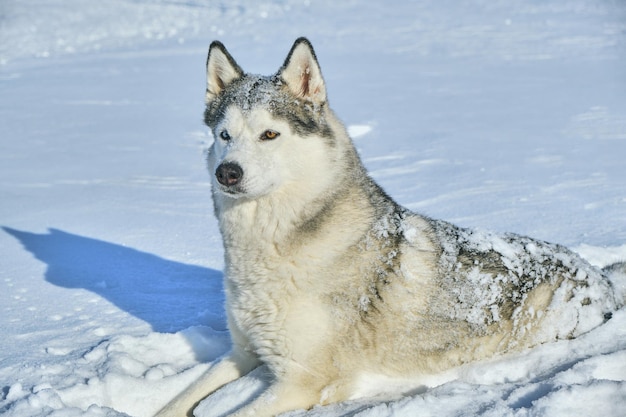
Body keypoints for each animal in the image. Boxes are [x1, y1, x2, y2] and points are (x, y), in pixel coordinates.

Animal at [155, 37, 620, 414]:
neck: (266, 247)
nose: (227, 173)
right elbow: (175, 402)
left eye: (269, 135)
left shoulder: (302, 382)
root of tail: (602, 277)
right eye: (224, 136)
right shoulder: (243, 353)